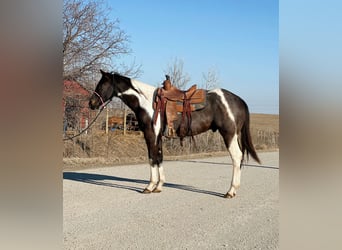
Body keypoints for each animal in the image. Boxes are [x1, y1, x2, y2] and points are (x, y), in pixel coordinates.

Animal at [89, 69, 260, 198]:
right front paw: (159, 186)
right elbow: (159, 158)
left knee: (236, 157)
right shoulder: (158, 136)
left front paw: (149, 186)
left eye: (102, 85)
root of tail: (238, 100)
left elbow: (152, 158)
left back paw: (230, 191)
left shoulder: (150, 135)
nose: (91, 103)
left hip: (229, 134)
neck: (146, 103)